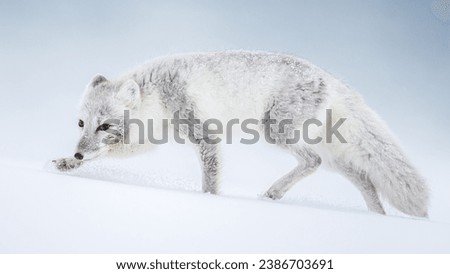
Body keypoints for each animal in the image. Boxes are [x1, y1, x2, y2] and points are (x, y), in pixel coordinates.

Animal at [52, 50, 428, 216]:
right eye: (82, 124)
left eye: (105, 125)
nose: (79, 150)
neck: (156, 92)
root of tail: (331, 78)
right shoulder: (150, 137)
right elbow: (106, 153)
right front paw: (68, 163)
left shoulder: (203, 135)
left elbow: (210, 180)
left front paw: (210, 202)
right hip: (328, 151)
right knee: (362, 176)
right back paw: (378, 217)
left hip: (276, 131)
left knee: (314, 161)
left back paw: (274, 192)